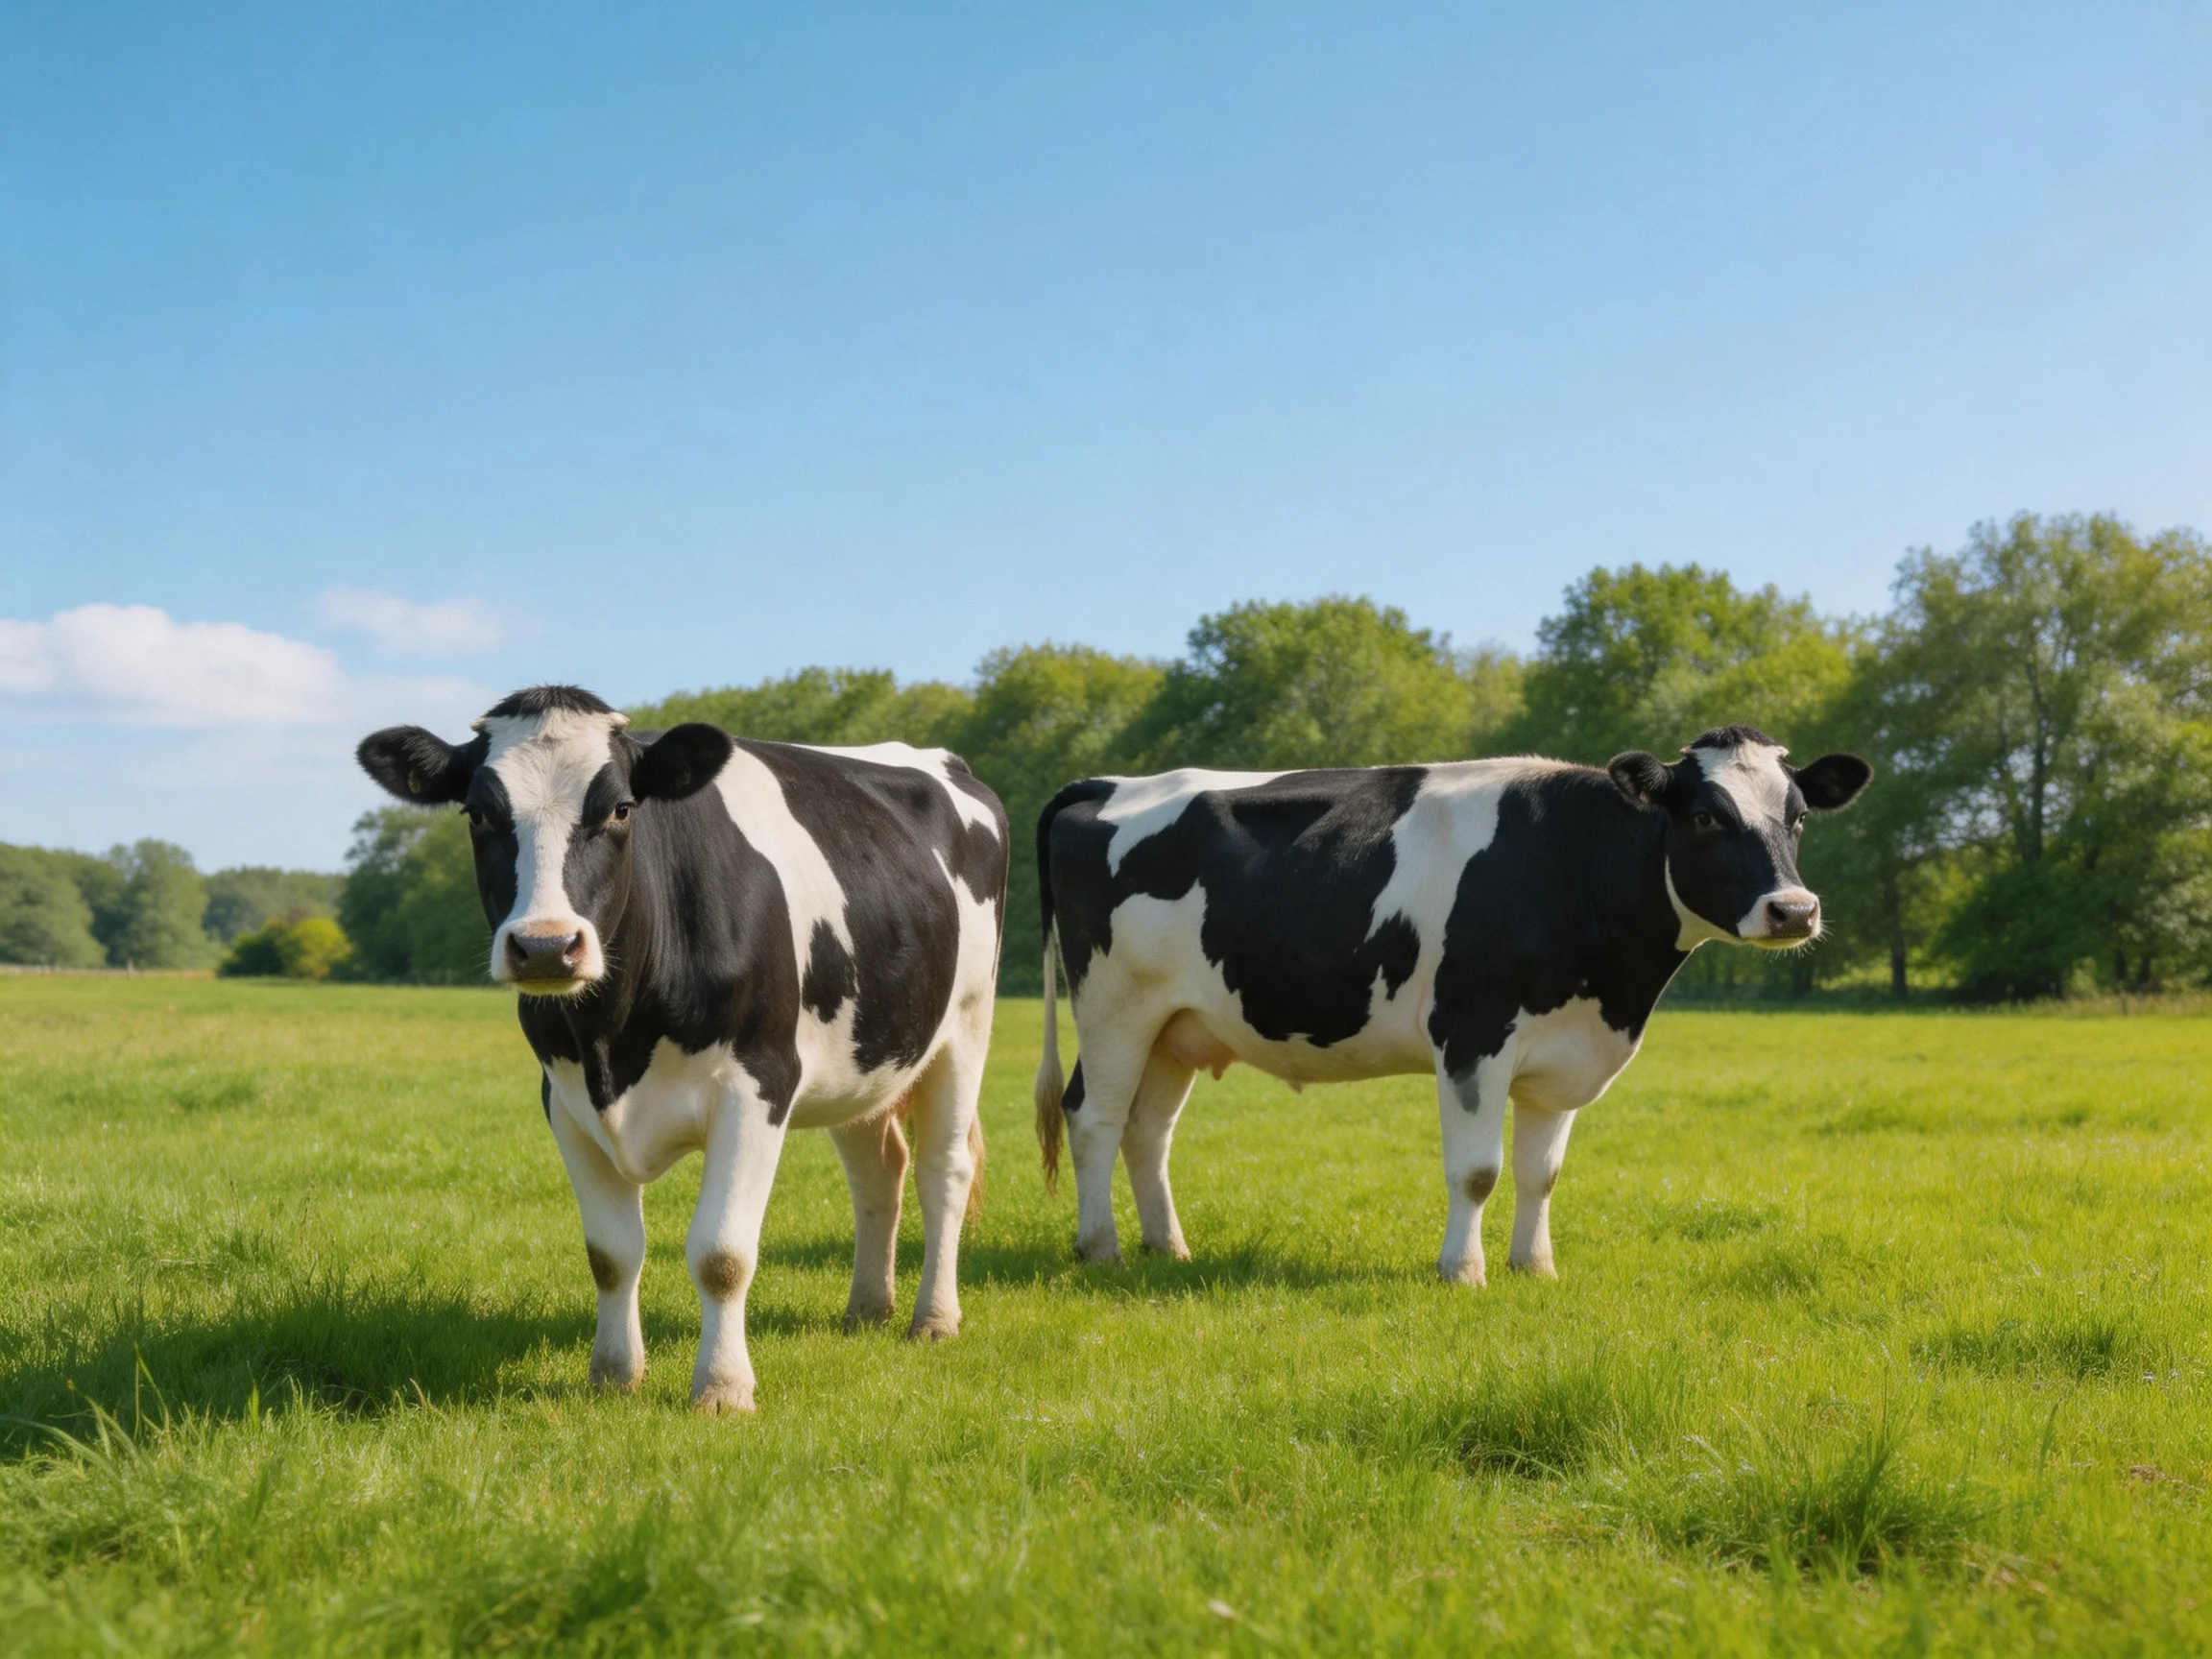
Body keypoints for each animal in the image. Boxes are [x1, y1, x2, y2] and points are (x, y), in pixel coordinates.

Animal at [358, 686, 1008, 1413]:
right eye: (478, 812)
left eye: (620, 808)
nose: (547, 945)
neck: (614, 1041)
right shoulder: (564, 1098)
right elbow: (610, 1253)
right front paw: (614, 1374)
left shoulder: (759, 1084)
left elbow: (722, 1254)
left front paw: (722, 1389)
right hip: (863, 1058)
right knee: (879, 1172)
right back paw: (866, 1311)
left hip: (966, 1027)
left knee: (942, 1171)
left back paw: (934, 1319)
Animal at [1031, 725, 1870, 1286]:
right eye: (1704, 816)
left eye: (1797, 816)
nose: (1794, 911)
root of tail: (1109, 784)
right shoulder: (1472, 1035)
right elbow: (1477, 1171)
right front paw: (1462, 1271)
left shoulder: (1563, 1052)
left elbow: (1541, 1174)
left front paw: (1535, 1267)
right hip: (1113, 1005)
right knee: (1093, 1117)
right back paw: (1100, 1248)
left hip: (1176, 1025)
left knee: (1147, 1131)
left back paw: (1168, 1247)